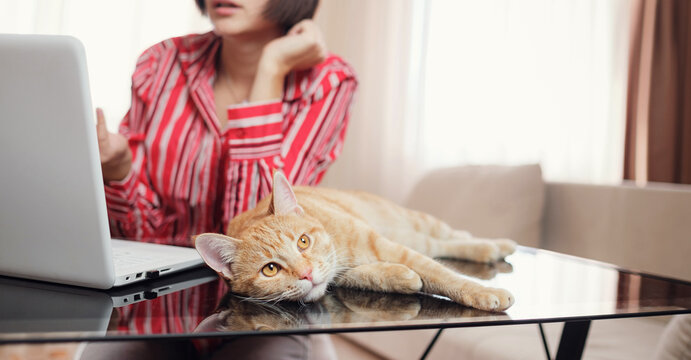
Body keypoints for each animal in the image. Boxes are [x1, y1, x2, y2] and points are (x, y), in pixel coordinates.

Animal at [193, 172, 512, 312]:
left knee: (450, 238)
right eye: (270, 269)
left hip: (412, 224)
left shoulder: (389, 247)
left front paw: (482, 292)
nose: (306, 274)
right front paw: (399, 277)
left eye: (303, 242)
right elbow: (369, 276)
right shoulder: (347, 272)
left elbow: (444, 275)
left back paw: (494, 245)